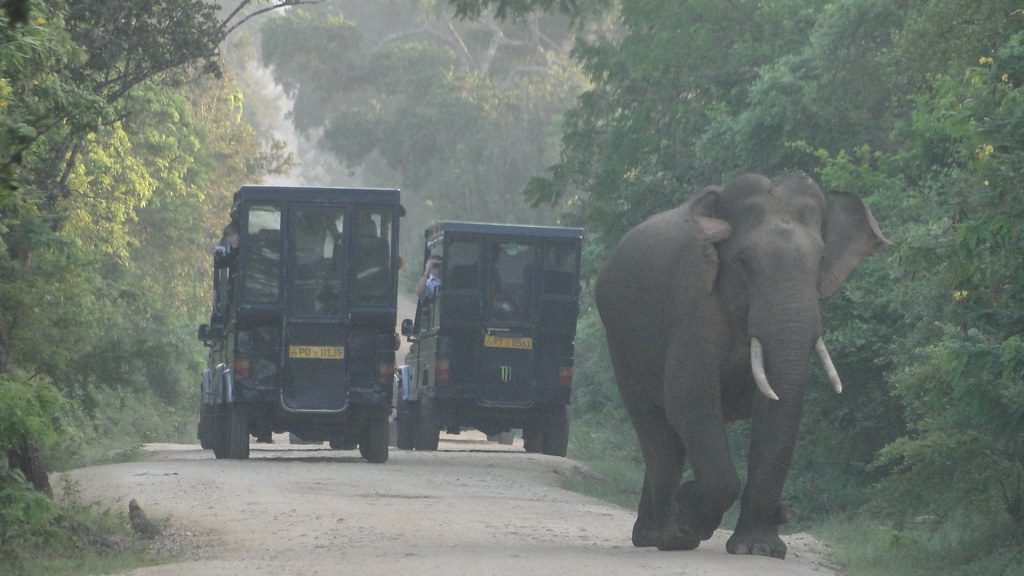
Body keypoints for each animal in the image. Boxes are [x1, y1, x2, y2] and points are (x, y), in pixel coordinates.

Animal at [598, 170, 892, 557]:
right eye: (743, 262)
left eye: (821, 260)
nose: (786, 511)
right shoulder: (692, 301)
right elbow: (690, 398)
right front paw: (687, 522)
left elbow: (774, 409)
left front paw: (758, 549)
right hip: (619, 342)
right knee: (654, 425)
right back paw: (665, 536)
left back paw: (653, 533)